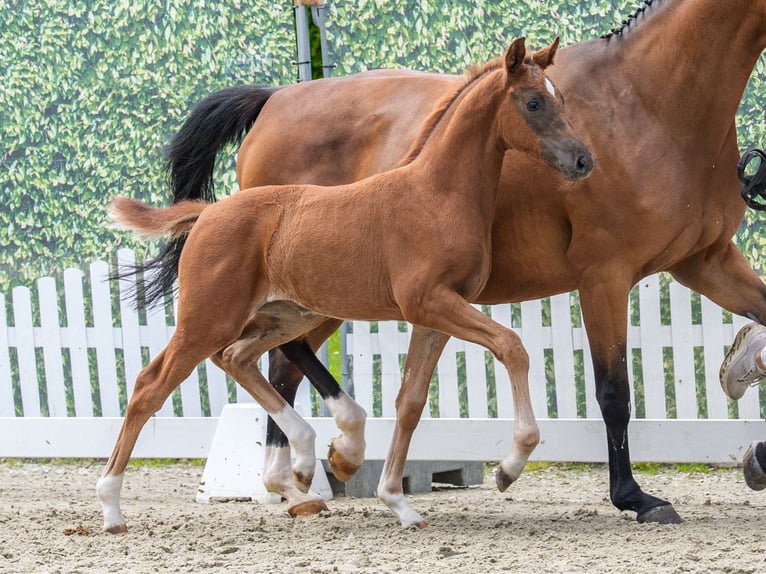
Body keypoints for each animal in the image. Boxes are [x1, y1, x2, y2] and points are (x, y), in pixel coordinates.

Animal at [98, 37, 593, 533]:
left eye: (561, 99)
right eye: (533, 102)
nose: (583, 160)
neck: (436, 194)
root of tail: (206, 213)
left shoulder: (437, 315)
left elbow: (410, 401)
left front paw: (397, 502)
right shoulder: (429, 302)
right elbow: (513, 347)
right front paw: (509, 467)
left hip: (286, 317)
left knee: (238, 359)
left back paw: (308, 461)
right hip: (208, 320)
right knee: (149, 385)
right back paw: (111, 507)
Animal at [161, 0, 766, 526]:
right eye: (535, 104)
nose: (582, 161)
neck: (651, 98)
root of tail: (274, 99)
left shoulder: (705, 260)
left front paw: (753, 438)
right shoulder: (605, 275)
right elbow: (614, 393)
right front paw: (635, 498)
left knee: (280, 363)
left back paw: (300, 477)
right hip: (313, 293)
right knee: (281, 355)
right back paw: (330, 454)